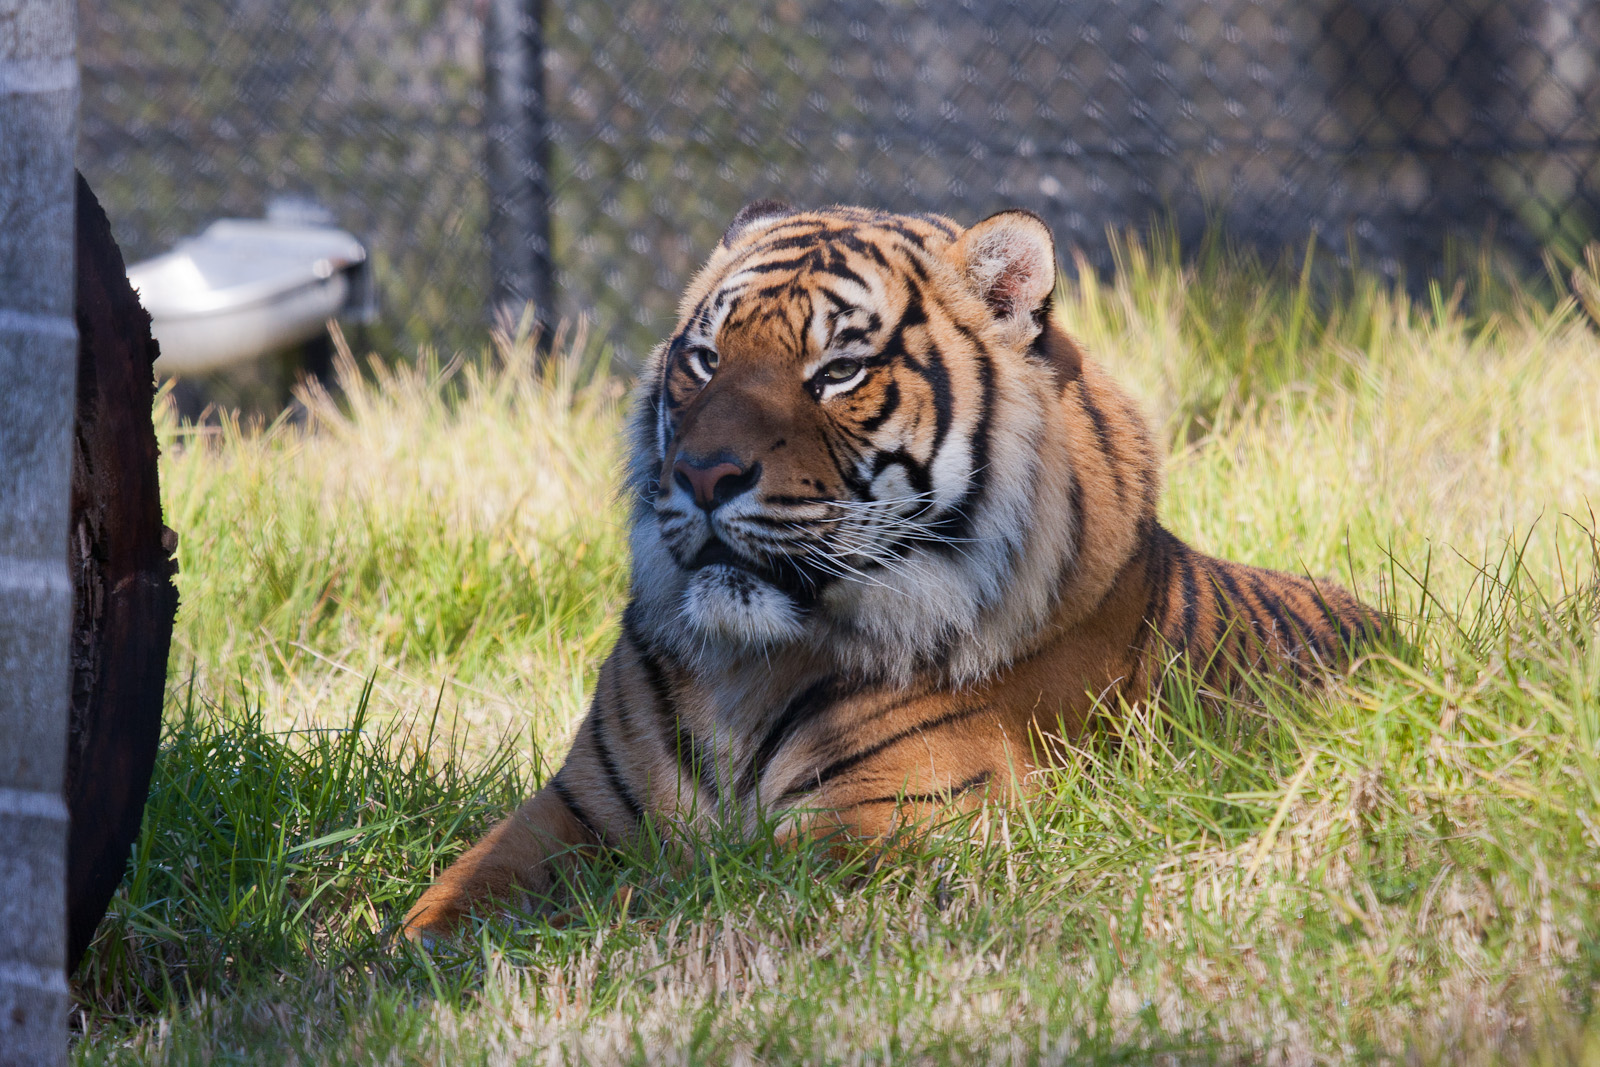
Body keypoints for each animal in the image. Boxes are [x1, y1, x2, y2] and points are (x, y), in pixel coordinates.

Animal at [403, 202, 1382, 940]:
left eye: (838, 370)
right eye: (705, 359)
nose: (704, 474)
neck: (746, 665)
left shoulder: (882, 823)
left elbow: (663, 894)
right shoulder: (572, 807)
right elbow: (452, 897)